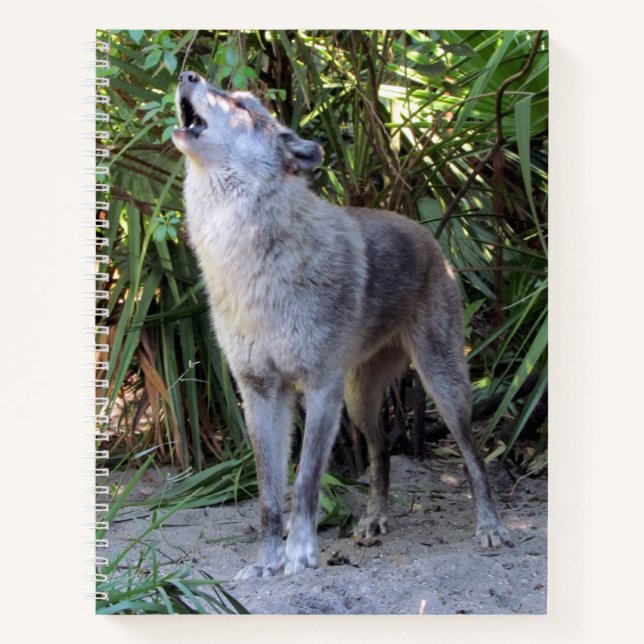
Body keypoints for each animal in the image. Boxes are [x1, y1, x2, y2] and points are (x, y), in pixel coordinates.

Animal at [172, 70, 511, 579]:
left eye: (243, 106)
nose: (187, 74)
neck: (249, 260)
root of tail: (426, 233)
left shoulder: (320, 388)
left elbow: (306, 483)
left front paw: (299, 556)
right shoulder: (260, 392)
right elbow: (269, 497)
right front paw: (266, 563)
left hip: (443, 388)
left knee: (473, 454)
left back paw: (489, 526)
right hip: (360, 400)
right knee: (381, 450)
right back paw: (372, 521)